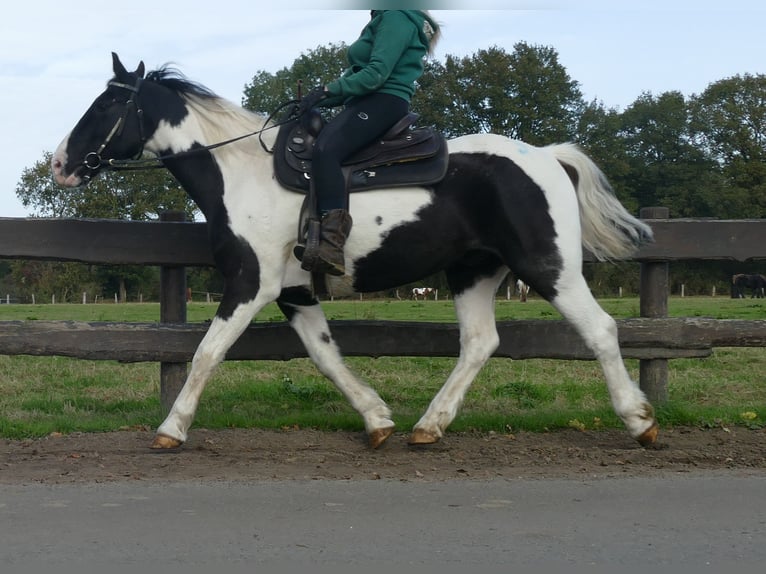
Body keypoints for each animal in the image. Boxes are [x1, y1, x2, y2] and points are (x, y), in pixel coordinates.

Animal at [51, 53, 659, 451]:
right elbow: (325, 356)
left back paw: (639, 420)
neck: (239, 174)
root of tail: (548, 157)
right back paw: (428, 426)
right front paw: (377, 419)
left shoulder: (251, 284)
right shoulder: (294, 292)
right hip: (472, 272)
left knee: (599, 329)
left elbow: (206, 353)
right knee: (480, 343)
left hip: (548, 266)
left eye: (107, 104)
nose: (60, 163)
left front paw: (171, 429)